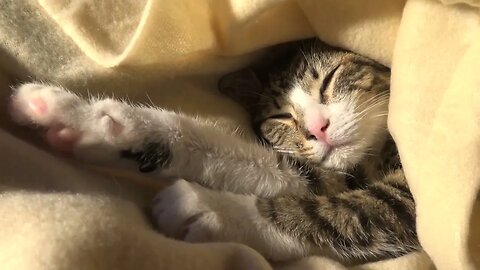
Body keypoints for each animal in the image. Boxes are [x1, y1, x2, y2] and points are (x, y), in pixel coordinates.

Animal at [9, 38, 418, 264]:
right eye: (282, 116)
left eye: (331, 78)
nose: (317, 129)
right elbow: (287, 171)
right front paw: (91, 124)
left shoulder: (415, 198)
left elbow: (345, 213)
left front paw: (209, 207)